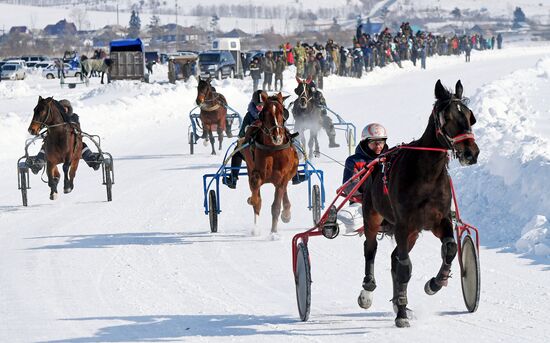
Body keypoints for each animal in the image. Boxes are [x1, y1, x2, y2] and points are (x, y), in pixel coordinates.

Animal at [244, 92, 300, 238]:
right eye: (264, 113)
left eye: (283, 112)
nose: (277, 136)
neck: (273, 148)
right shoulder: (256, 172)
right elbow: (256, 196)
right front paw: (252, 200)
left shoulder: (282, 176)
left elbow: (276, 206)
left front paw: (274, 232)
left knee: (284, 190)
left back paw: (286, 213)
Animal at [360, 80, 480, 328]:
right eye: (447, 117)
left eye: (469, 116)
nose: (471, 153)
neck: (426, 175)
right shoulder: (403, 224)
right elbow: (405, 268)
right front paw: (401, 315)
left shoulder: (439, 220)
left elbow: (450, 248)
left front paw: (435, 283)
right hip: (373, 216)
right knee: (370, 248)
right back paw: (368, 289)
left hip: (414, 233)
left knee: (395, 257)